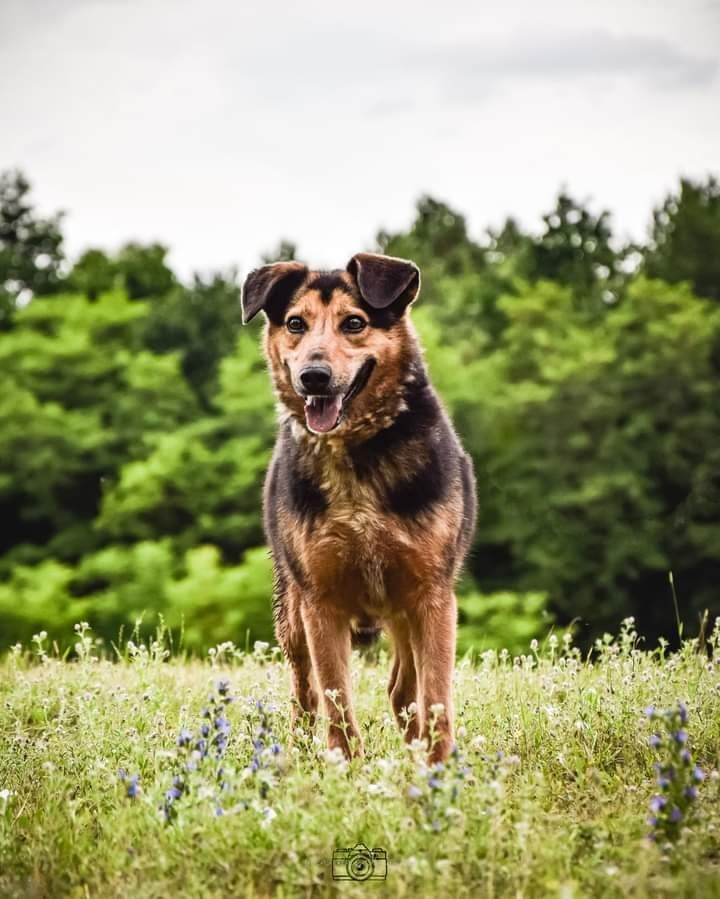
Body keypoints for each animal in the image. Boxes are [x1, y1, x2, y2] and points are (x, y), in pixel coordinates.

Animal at [242, 255, 476, 768]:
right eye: (296, 324)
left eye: (354, 323)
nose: (313, 376)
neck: (353, 449)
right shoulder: (320, 601)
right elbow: (335, 697)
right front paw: (343, 766)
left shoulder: (431, 597)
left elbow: (434, 695)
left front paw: (438, 768)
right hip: (293, 617)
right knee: (305, 693)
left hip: (406, 609)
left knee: (403, 687)